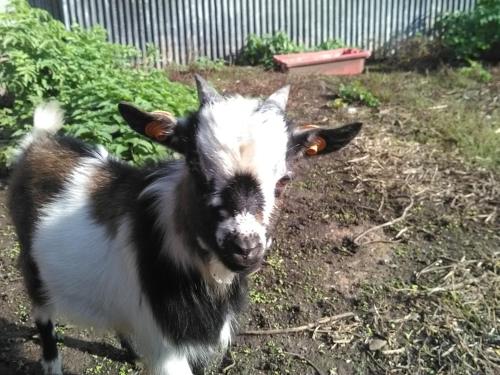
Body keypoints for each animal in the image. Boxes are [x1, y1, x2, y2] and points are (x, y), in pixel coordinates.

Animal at [7, 75, 360, 374]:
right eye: (195, 166)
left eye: (285, 180)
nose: (244, 248)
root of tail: (39, 142)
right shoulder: (169, 349)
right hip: (32, 265)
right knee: (43, 316)